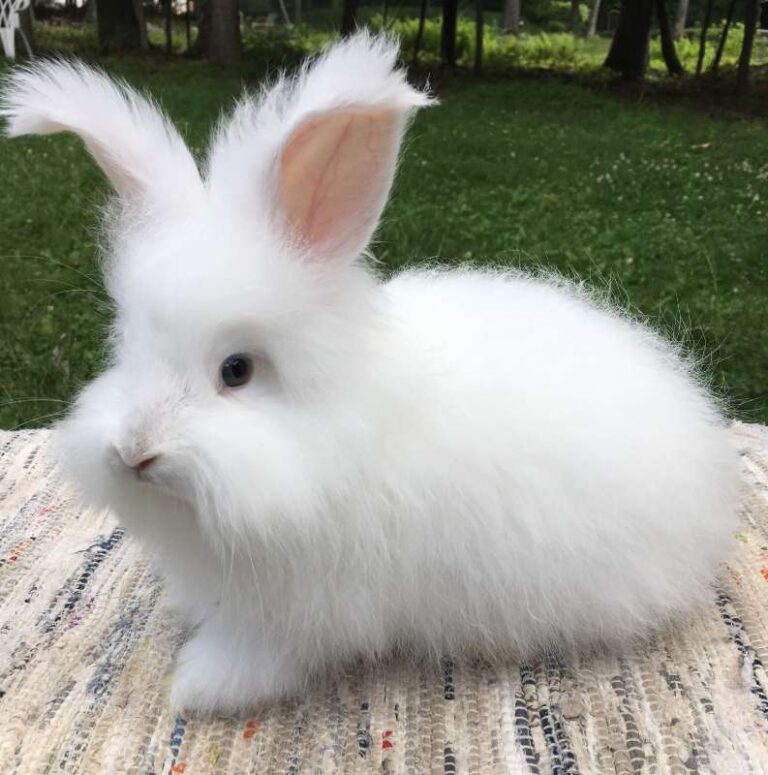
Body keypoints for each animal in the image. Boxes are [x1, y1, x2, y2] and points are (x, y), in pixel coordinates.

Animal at [1, 33, 740, 716]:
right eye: (126, 346)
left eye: (236, 370)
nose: (134, 453)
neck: (325, 437)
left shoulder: (298, 611)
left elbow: (256, 658)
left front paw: (196, 689)